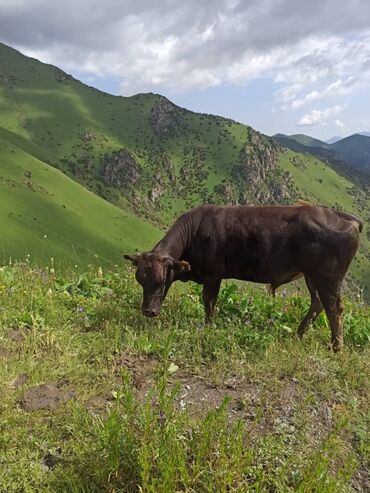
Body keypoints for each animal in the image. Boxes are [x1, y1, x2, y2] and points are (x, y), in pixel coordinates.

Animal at [125, 203, 362, 350]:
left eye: (161, 281)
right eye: (141, 280)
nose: (148, 311)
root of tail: (343, 216)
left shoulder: (213, 275)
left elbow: (208, 302)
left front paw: (209, 327)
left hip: (328, 277)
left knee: (334, 308)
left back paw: (336, 346)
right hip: (312, 276)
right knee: (318, 304)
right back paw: (298, 334)